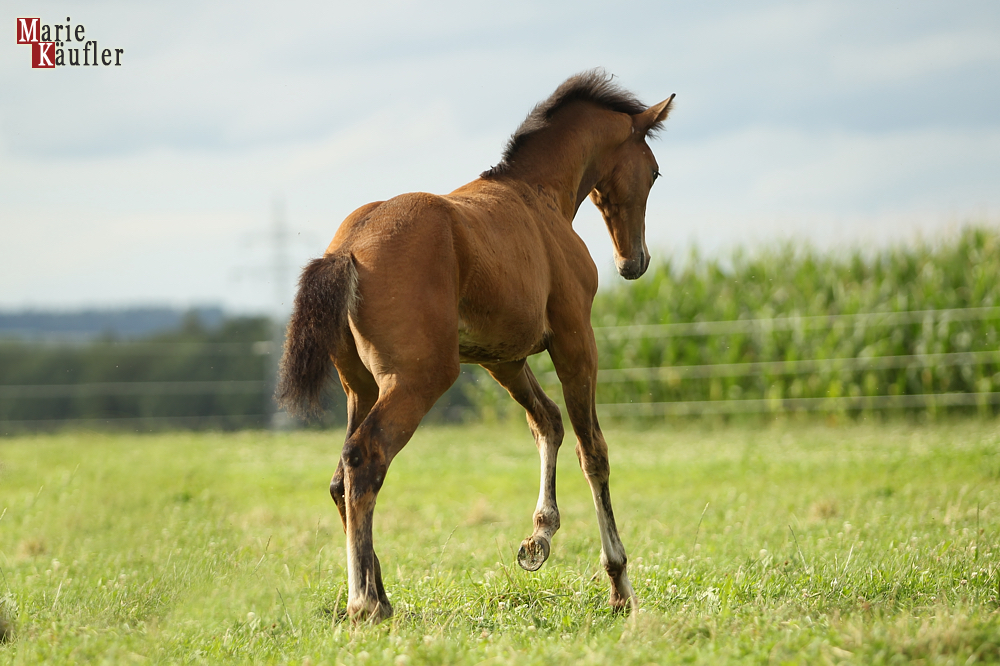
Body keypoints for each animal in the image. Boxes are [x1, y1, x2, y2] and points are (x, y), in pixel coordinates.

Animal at [278, 70, 676, 620]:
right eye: (654, 173)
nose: (634, 261)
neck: (537, 194)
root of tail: (349, 249)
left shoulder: (502, 359)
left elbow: (547, 422)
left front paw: (539, 539)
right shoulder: (575, 338)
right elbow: (592, 450)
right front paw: (619, 586)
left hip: (359, 386)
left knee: (341, 477)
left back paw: (381, 596)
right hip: (418, 379)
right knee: (364, 459)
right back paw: (365, 603)